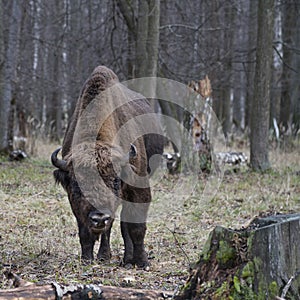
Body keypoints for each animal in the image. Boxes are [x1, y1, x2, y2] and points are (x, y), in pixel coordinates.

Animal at [51, 66, 164, 268]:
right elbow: (85, 230)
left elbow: (136, 227)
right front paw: (88, 258)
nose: (99, 218)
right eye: (77, 185)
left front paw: (142, 262)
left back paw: (128, 259)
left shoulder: (137, 187)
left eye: (115, 181)